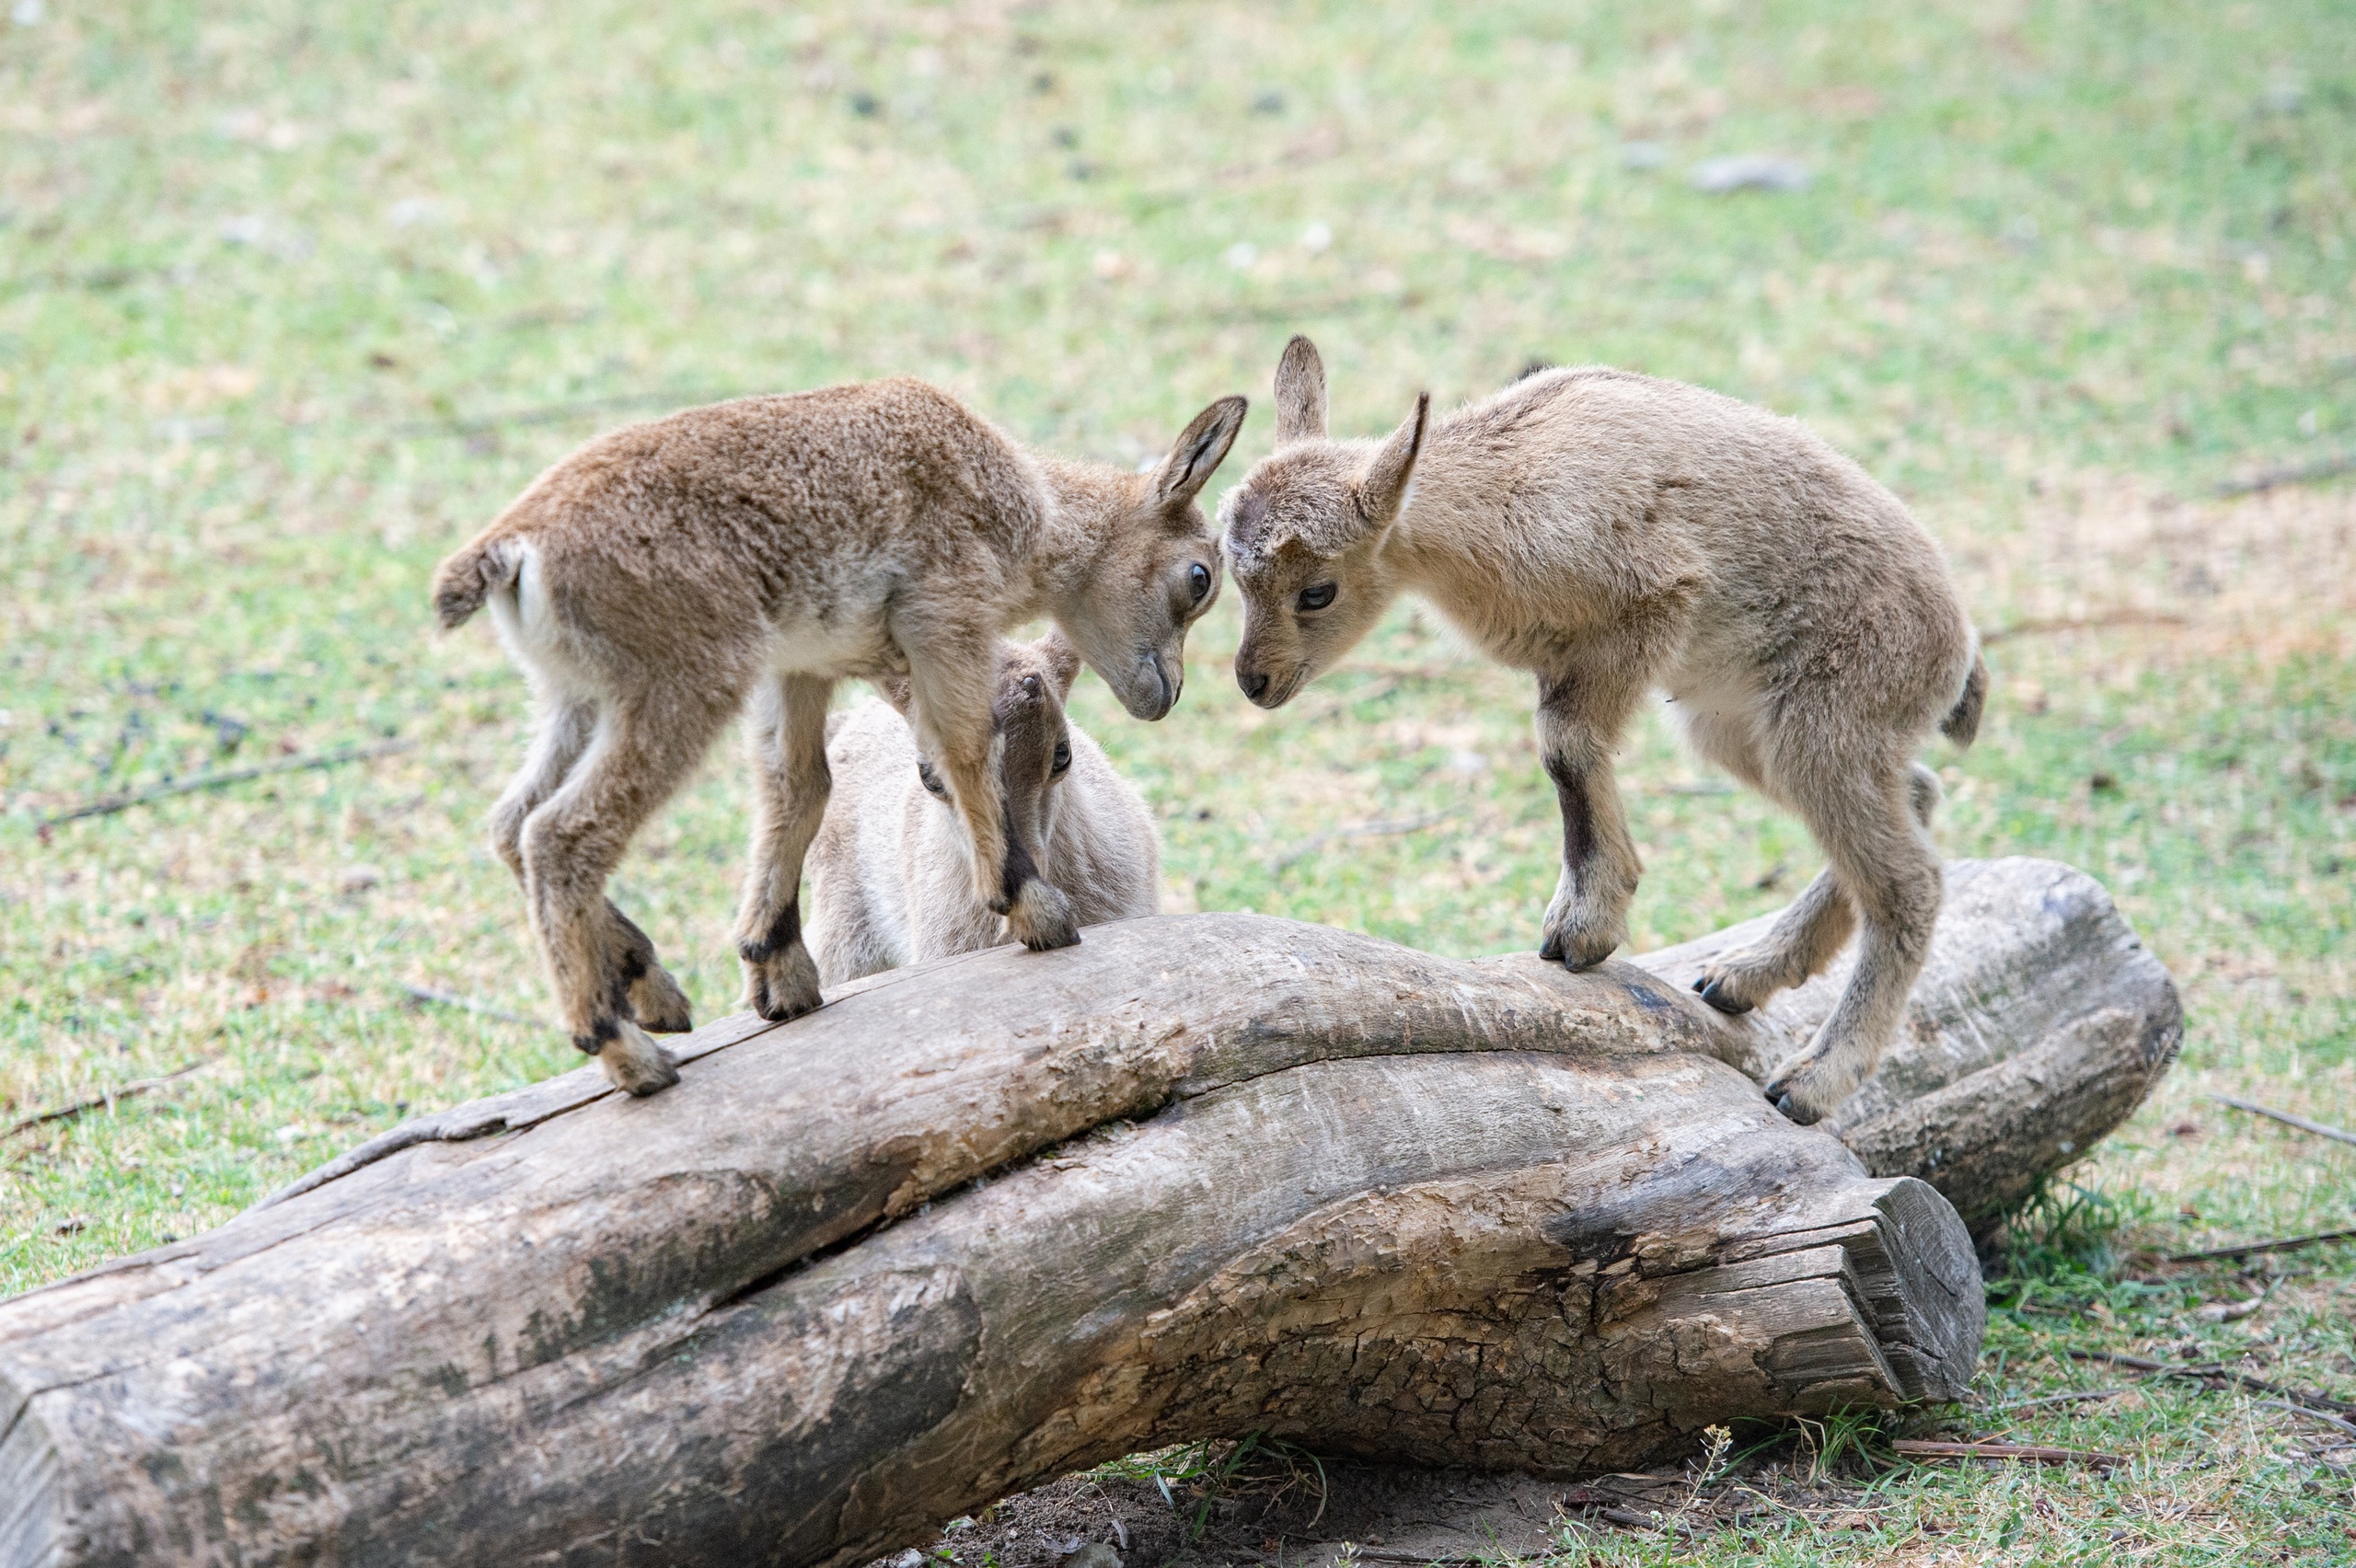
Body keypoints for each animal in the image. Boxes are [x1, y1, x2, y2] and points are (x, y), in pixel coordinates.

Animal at [1225, 339, 1979, 1124]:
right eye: (1230, 576)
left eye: (1317, 591)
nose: (1254, 681)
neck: (1497, 498)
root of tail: (1956, 651)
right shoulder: (1565, 662)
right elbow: (1564, 756)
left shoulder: (1642, 613)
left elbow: (1564, 749)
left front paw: (1580, 930)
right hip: (1740, 730)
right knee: (1918, 795)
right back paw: (1742, 976)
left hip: (1821, 728)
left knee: (1911, 882)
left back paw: (1811, 1079)